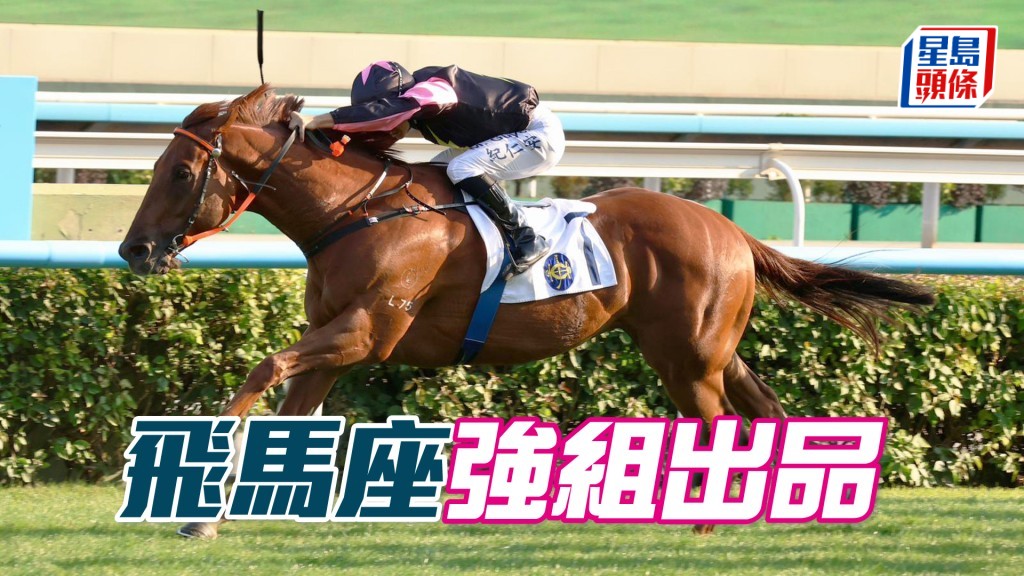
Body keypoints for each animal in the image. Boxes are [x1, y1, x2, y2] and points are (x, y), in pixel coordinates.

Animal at [119, 85, 934, 538]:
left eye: (181, 172)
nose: (134, 249)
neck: (357, 213)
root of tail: (732, 230)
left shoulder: (366, 332)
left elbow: (263, 368)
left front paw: (195, 487)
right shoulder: (332, 340)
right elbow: (289, 403)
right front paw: (213, 514)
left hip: (687, 360)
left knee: (716, 424)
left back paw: (706, 519)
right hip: (712, 350)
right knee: (764, 412)